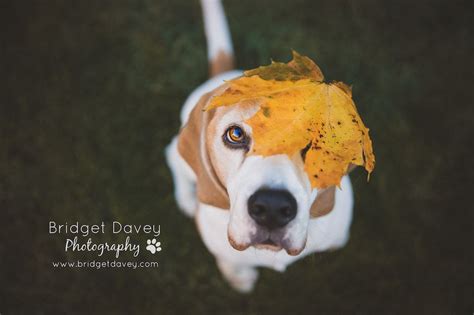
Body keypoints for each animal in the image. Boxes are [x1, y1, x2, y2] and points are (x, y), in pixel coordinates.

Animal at [165, 0, 354, 294]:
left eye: (313, 142)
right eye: (235, 134)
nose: (272, 208)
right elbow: (230, 261)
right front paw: (239, 278)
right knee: (172, 155)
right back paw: (186, 198)